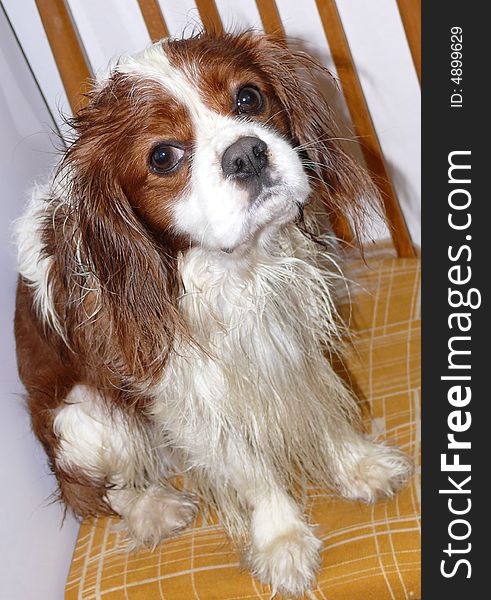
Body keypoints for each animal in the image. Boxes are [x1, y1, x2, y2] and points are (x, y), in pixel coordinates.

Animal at [14, 30, 412, 592]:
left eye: (248, 98)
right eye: (163, 155)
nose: (246, 153)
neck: (236, 271)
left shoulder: (289, 336)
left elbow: (323, 413)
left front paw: (357, 466)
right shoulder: (190, 397)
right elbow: (249, 471)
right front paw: (282, 540)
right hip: (84, 420)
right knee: (104, 489)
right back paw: (154, 509)